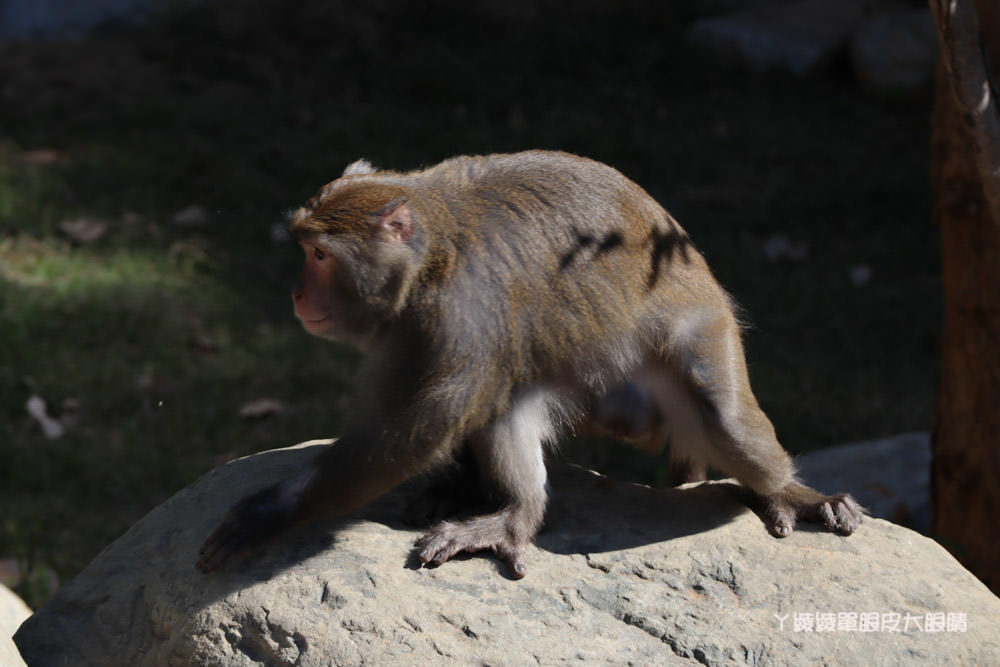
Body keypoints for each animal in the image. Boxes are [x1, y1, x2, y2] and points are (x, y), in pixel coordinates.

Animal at [199, 151, 864, 580]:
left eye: (318, 256)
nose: (296, 295)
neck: (432, 256)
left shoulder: (461, 312)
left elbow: (405, 434)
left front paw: (274, 513)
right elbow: (446, 417)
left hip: (707, 329)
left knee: (728, 424)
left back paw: (789, 492)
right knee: (505, 401)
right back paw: (510, 511)